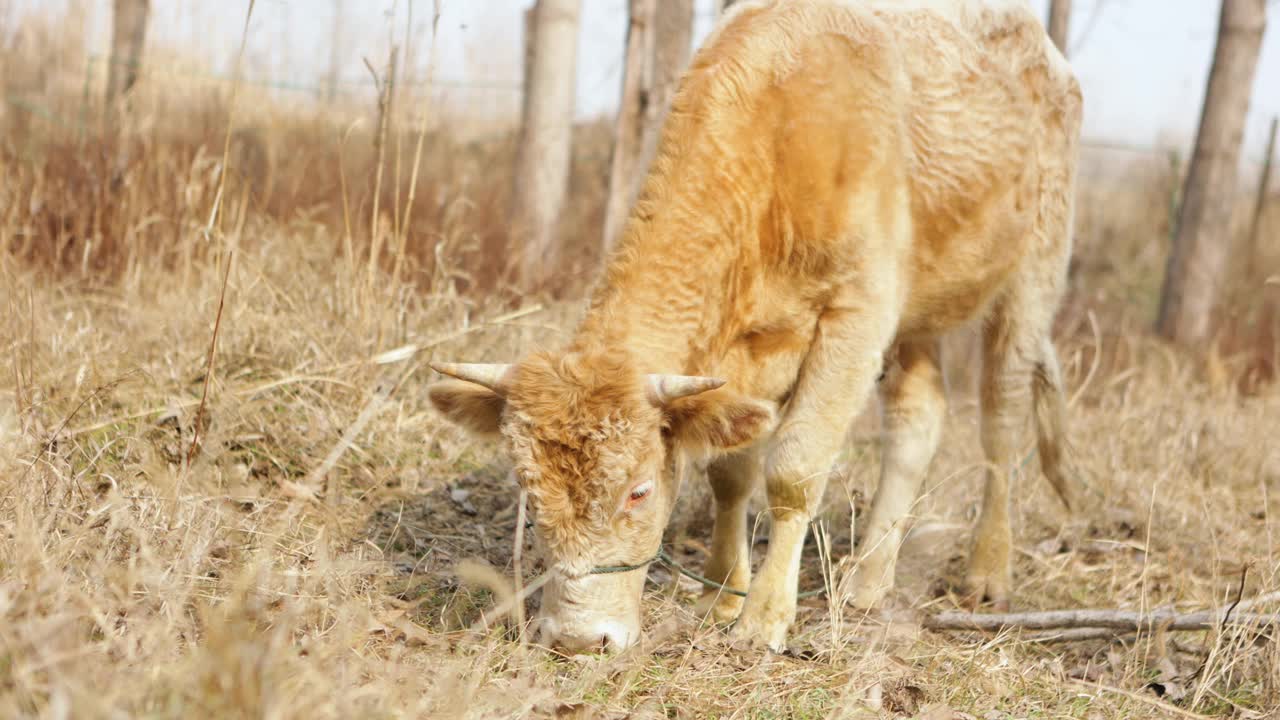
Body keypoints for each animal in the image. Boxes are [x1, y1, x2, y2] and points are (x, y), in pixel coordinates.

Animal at [427, 0, 1080, 650]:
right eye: (530, 496)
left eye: (638, 491)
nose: (578, 639)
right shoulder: (741, 354)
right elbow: (730, 470)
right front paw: (721, 592)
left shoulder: (857, 313)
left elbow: (793, 468)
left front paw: (763, 617)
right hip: (921, 312)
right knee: (918, 417)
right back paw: (867, 582)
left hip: (1032, 277)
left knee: (1001, 423)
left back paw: (987, 571)